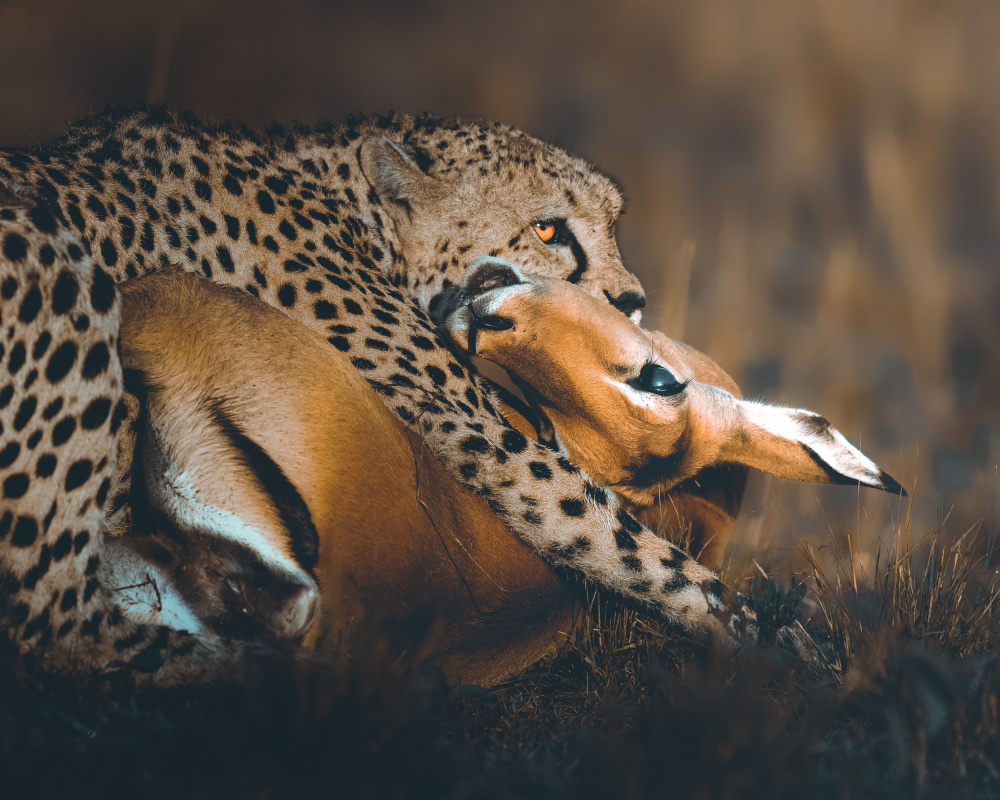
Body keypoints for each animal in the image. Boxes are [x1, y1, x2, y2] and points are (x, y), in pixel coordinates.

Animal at [0, 107, 759, 685]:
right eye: (549, 230)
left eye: (611, 225)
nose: (631, 301)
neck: (350, 199)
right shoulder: (487, 438)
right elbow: (613, 535)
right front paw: (763, 646)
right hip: (63, 275)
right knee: (49, 618)